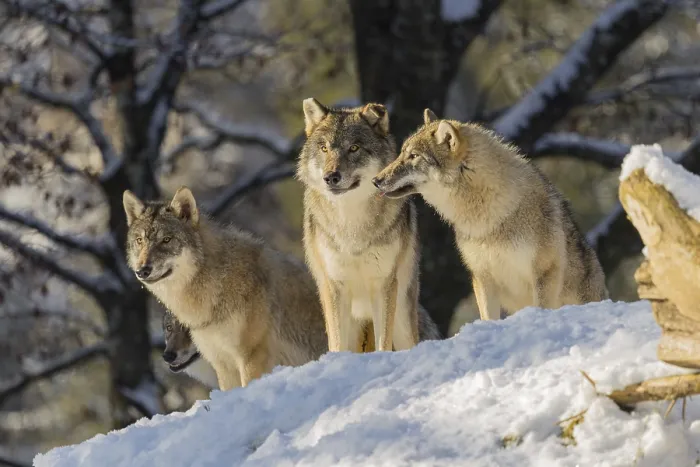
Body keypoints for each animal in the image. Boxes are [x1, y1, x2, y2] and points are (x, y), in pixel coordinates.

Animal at [297, 98, 421, 353]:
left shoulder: (383, 283)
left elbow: (383, 343)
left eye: (354, 148)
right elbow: (337, 344)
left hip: (402, 317)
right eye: (324, 148)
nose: (330, 177)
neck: (351, 224)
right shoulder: (334, 285)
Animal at [372, 110, 608, 320]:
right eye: (401, 153)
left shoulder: (544, 272)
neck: (487, 213)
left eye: (413, 156)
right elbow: (488, 317)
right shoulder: (483, 277)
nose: (376, 180)